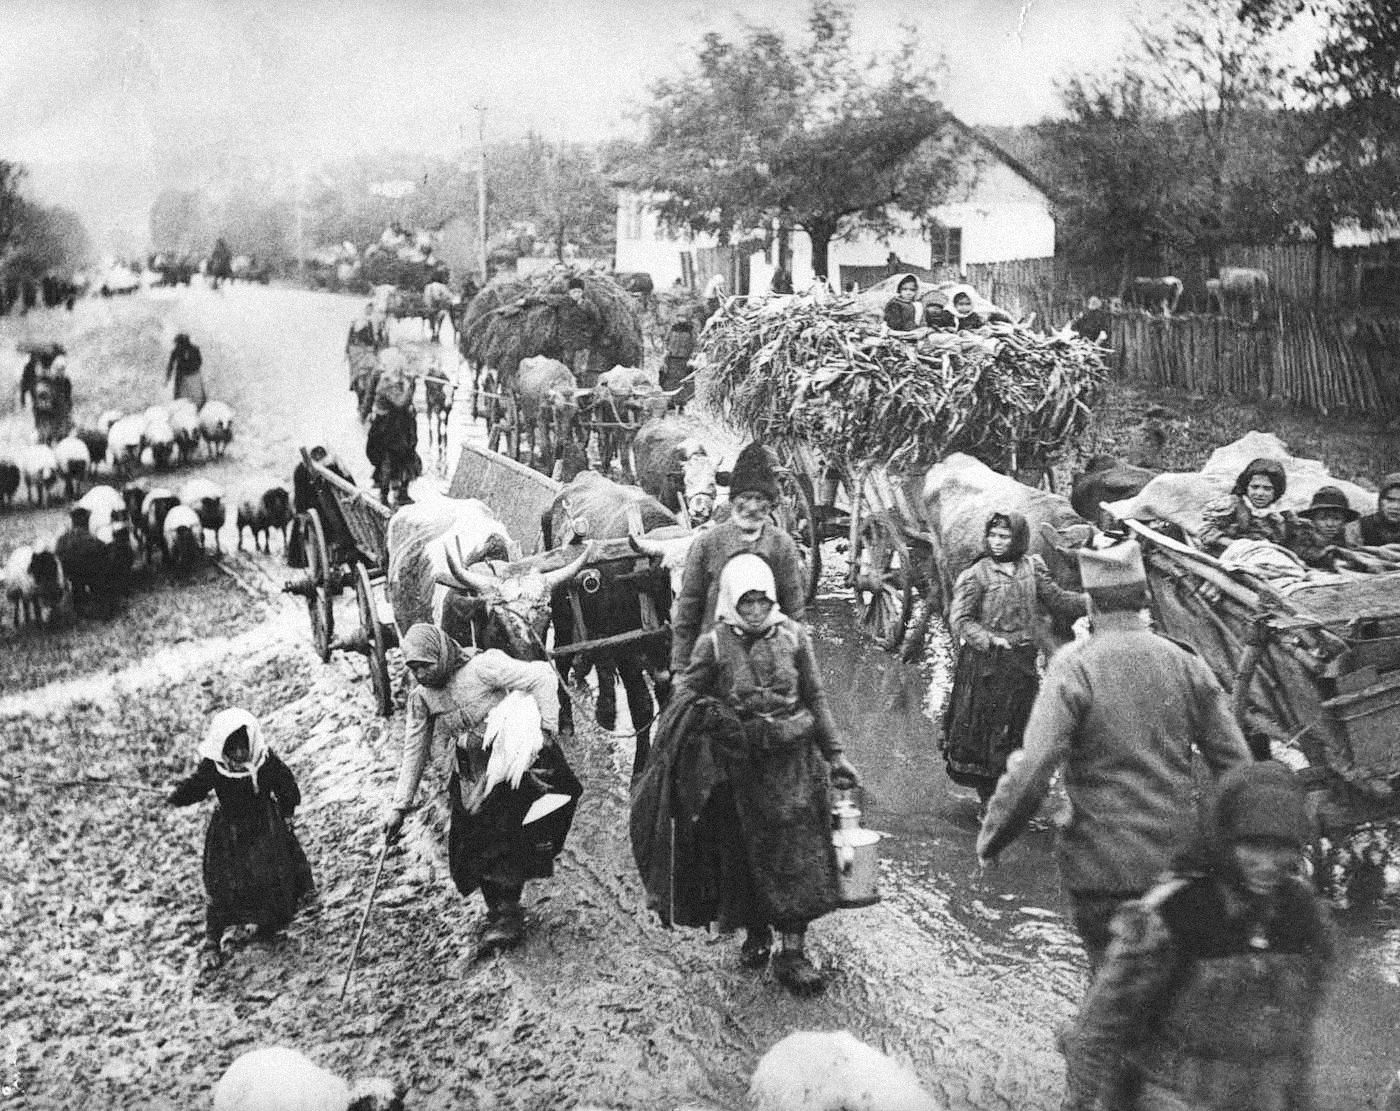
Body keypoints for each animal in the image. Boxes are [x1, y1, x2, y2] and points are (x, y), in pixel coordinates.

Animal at [540, 472, 683, 772]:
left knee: (599, 660)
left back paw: (604, 711)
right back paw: (567, 723)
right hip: (561, 613)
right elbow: (642, 707)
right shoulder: (628, 654)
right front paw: (639, 768)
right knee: (563, 659)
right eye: (667, 576)